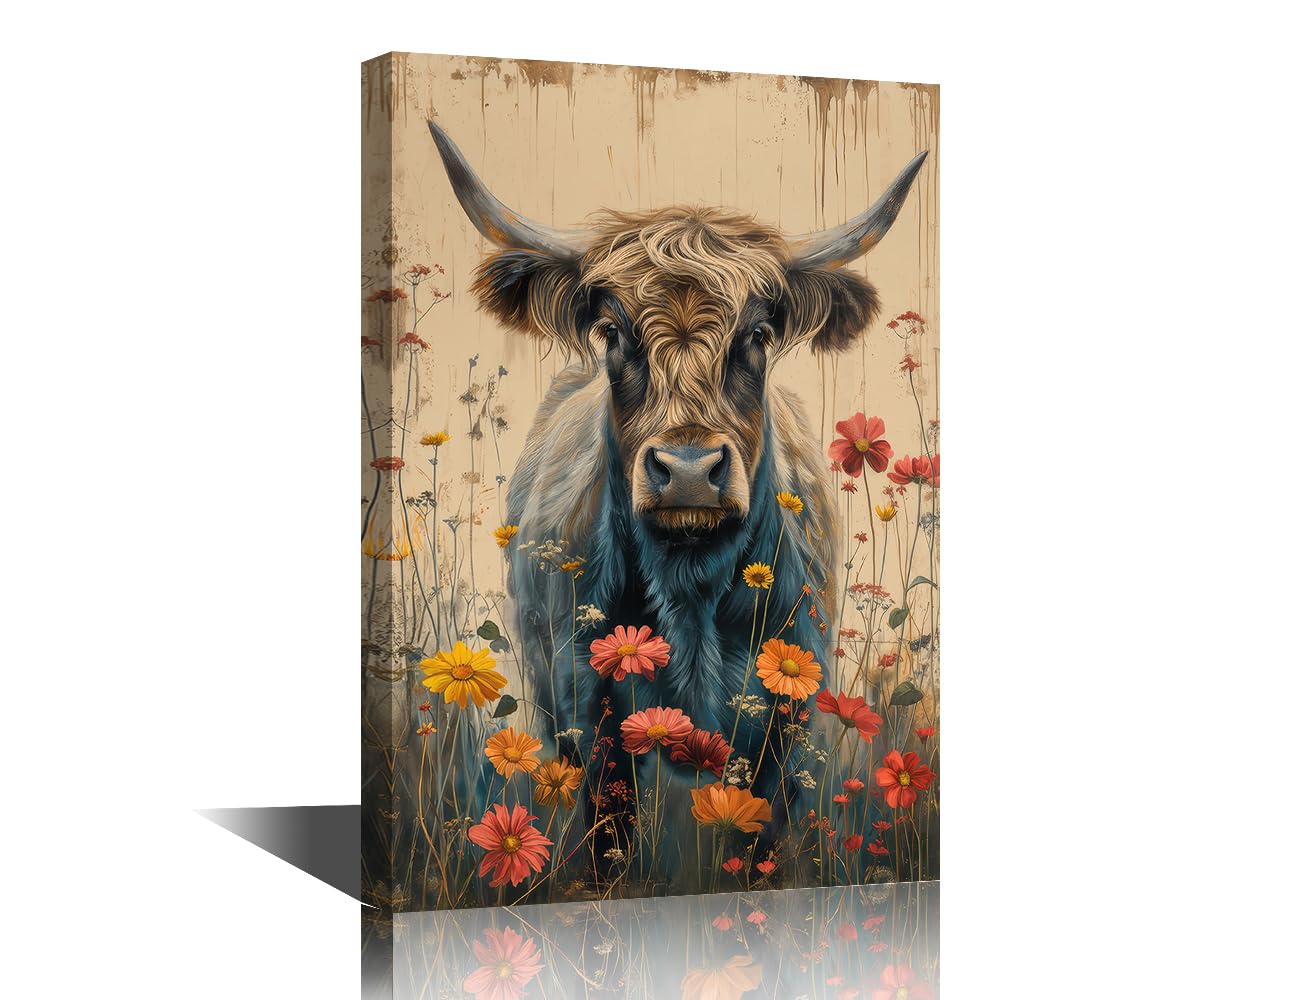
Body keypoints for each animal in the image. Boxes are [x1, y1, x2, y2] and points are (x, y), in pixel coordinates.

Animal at [428, 120, 925, 886]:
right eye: (611, 331)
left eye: (758, 333)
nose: (689, 471)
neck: (691, 592)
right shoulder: (587, 713)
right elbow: (612, 845)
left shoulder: (790, 723)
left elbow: (759, 848)